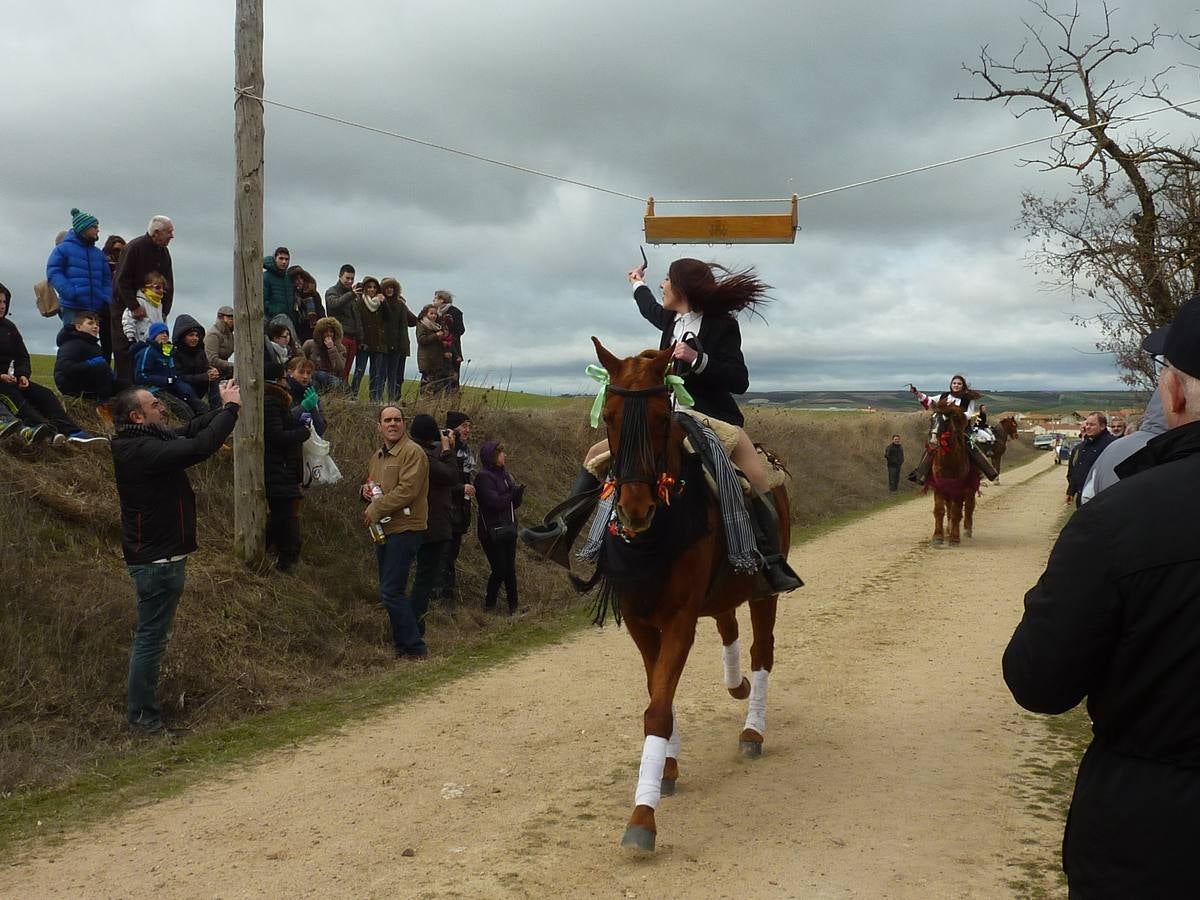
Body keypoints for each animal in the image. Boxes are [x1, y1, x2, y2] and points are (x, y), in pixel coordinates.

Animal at [588, 337, 789, 855]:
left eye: (663, 416)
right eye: (610, 415)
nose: (635, 509)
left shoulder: (678, 617)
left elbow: (658, 709)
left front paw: (643, 816)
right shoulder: (640, 620)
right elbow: (657, 690)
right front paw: (667, 768)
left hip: (764, 593)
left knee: (761, 651)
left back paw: (753, 728)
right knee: (728, 625)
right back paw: (736, 685)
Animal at [926, 401, 981, 545]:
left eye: (946, 421)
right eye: (931, 419)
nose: (932, 443)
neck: (949, 460)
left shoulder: (959, 488)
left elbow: (957, 511)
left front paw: (955, 537)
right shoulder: (939, 486)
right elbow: (940, 510)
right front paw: (938, 536)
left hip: (970, 489)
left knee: (969, 507)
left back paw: (967, 530)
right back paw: (948, 529)